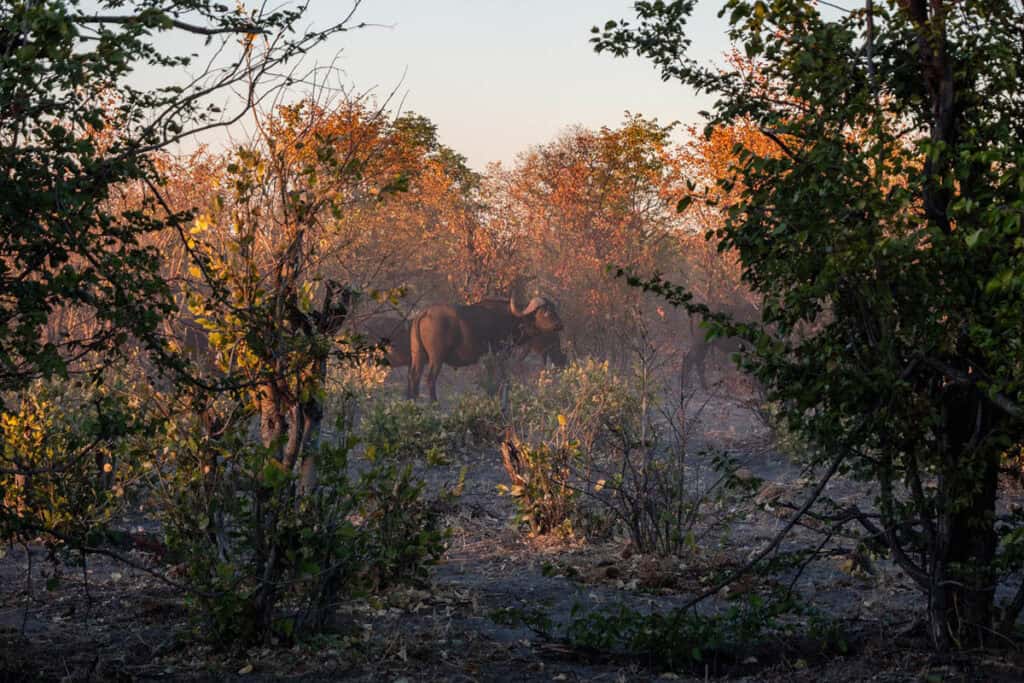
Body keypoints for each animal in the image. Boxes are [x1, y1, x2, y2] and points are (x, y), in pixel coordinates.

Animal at [407, 294, 565, 401]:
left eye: (554, 309)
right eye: (545, 311)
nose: (560, 325)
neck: (514, 319)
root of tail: (424, 313)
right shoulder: (500, 355)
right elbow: (501, 378)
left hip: (418, 356)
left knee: (414, 376)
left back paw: (413, 399)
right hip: (436, 359)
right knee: (430, 378)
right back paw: (434, 402)